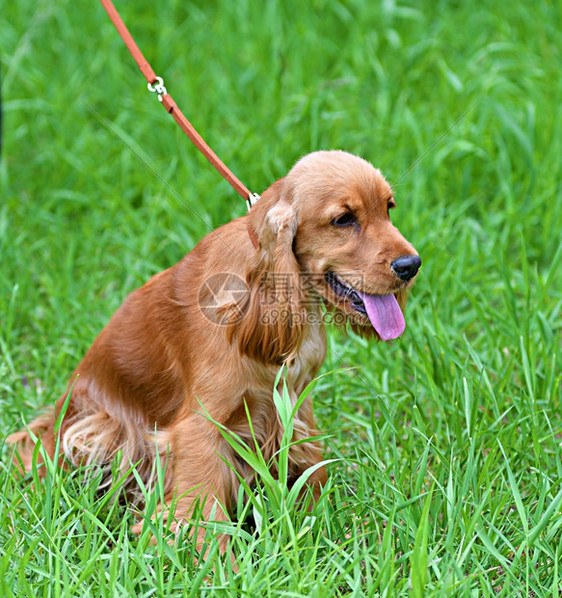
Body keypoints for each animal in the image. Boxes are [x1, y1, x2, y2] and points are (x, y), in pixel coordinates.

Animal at [7, 151, 420, 544]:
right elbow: (203, 514)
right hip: (96, 429)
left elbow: (312, 475)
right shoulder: (201, 427)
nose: (411, 264)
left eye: (389, 208)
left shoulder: (294, 409)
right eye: (344, 219)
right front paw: (218, 563)